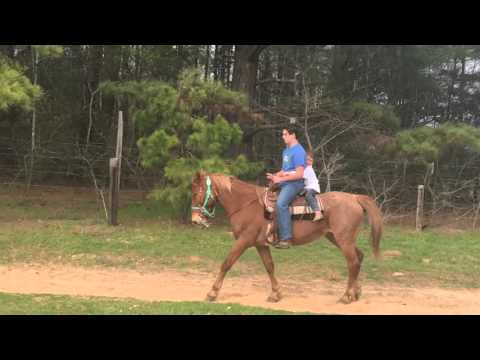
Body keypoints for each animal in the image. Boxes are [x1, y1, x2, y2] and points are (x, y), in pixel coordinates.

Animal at [191, 171, 382, 304]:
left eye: (196, 192)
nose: (195, 220)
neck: (246, 204)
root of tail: (354, 198)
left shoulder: (244, 241)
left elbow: (226, 264)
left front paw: (212, 293)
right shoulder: (260, 244)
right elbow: (269, 267)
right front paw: (276, 294)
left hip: (344, 239)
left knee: (353, 262)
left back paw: (346, 296)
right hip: (336, 238)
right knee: (359, 257)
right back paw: (355, 292)